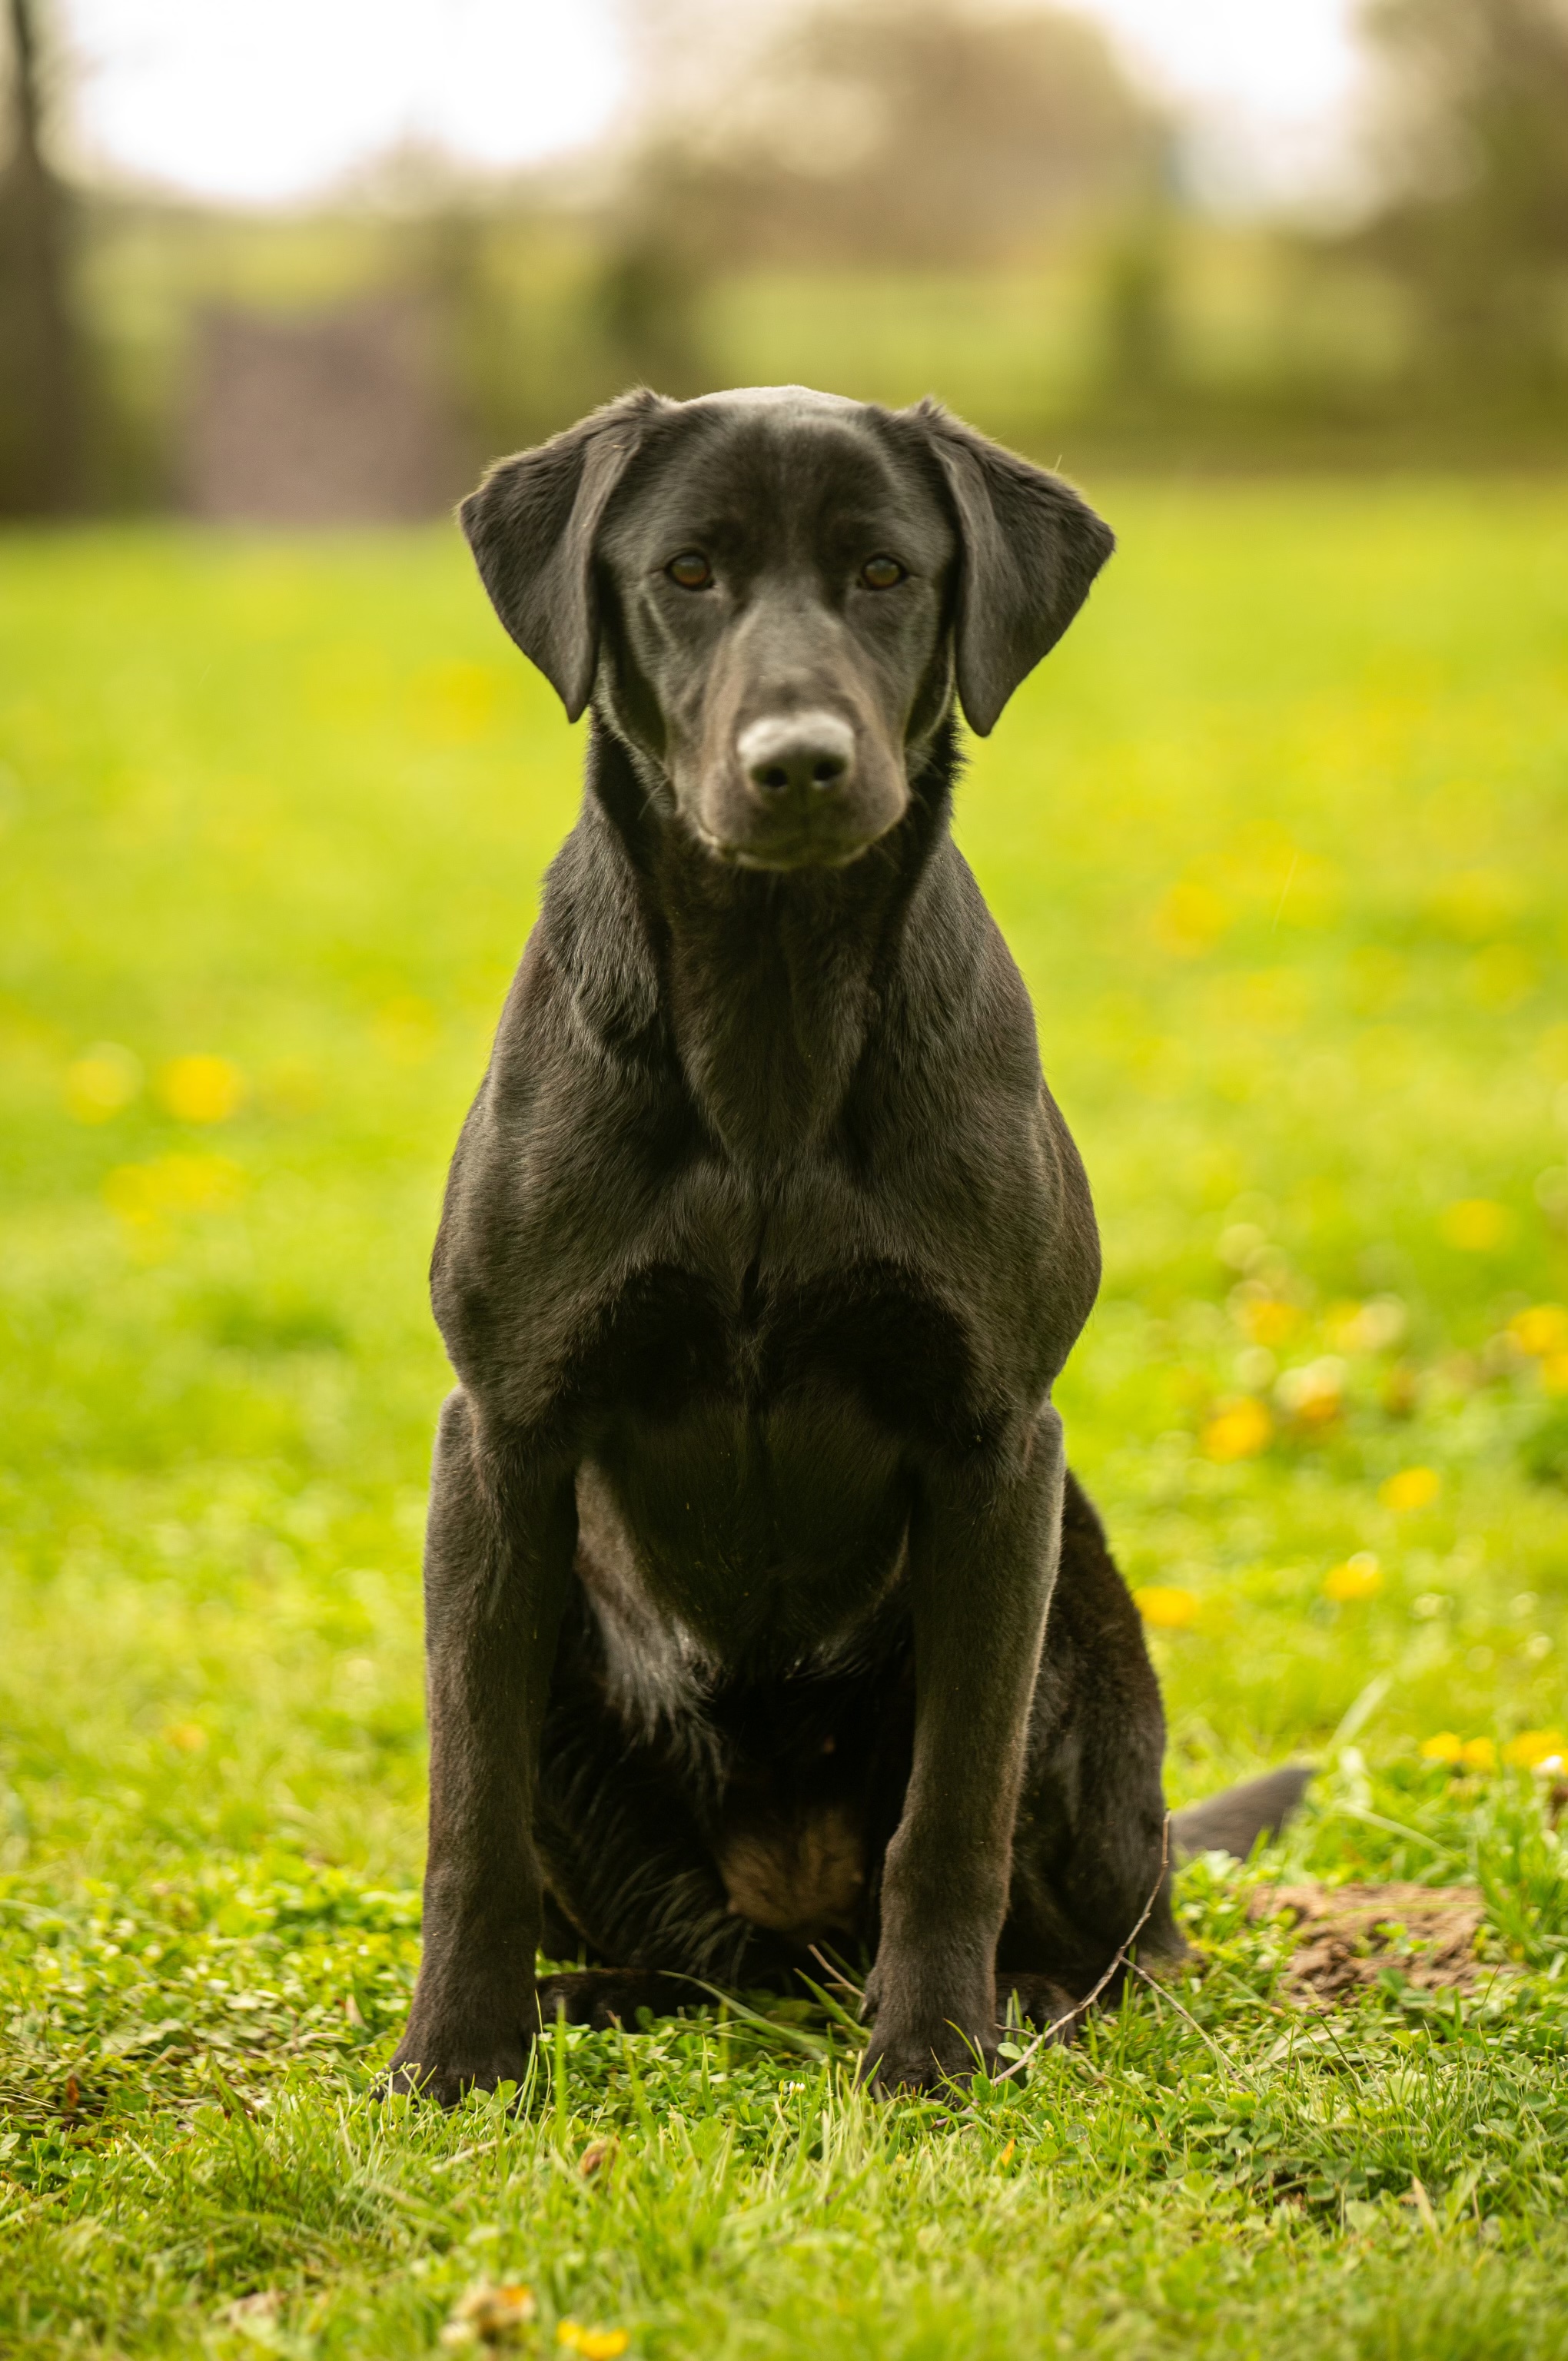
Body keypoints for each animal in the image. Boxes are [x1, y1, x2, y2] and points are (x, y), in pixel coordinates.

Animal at [384, 387, 1303, 2106]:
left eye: (886, 574)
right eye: (685, 572)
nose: (799, 764)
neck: (770, 1020)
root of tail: (794, 1930)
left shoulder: (995, 1450)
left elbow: (951, 1817)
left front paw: (933, 2053)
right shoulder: (502, 1443)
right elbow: (466, 1820)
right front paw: (454, 2060)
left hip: (1077, 1631)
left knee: (1131, 1931)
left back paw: (1036, 2002)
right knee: (672, 1948)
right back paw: (587, 1999)